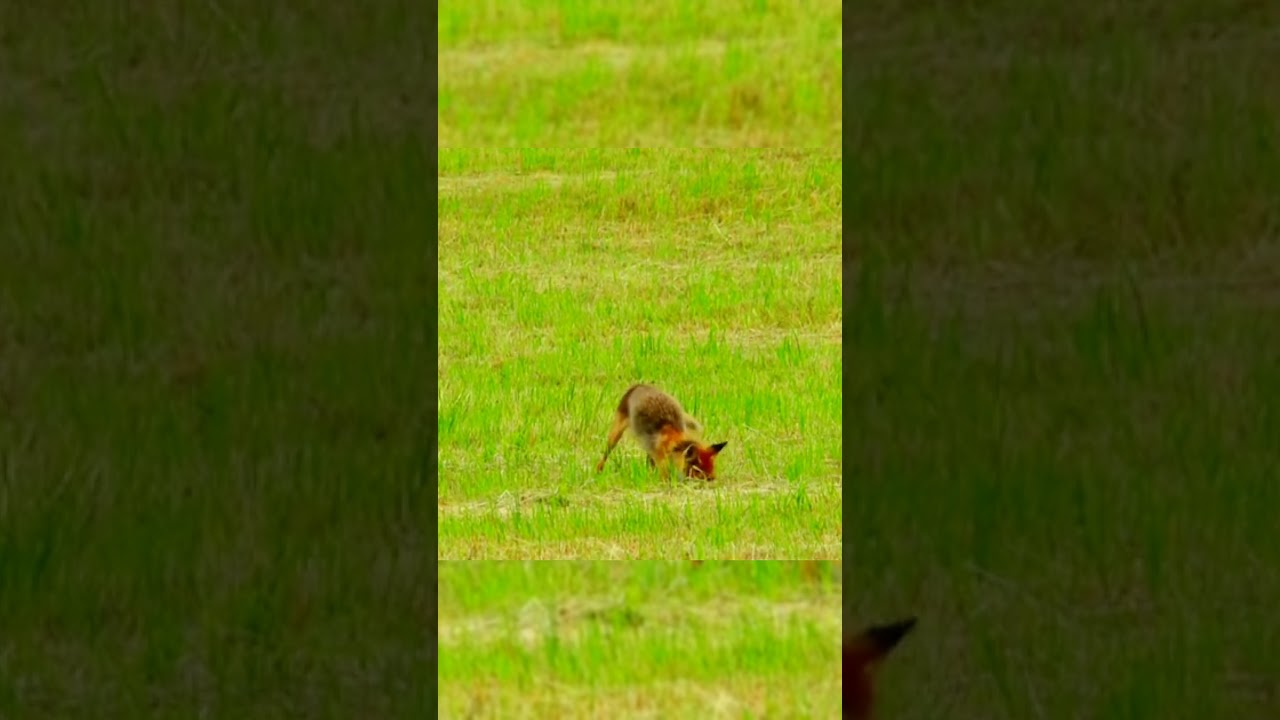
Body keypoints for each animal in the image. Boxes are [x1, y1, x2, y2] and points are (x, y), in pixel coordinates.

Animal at [594, 384, 728, 481]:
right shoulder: (662, 465)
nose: (712, 479)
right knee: (606, 453)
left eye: (712, 468)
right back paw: (598, 470)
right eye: (698, 471)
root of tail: (639, 385)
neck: (673, 443)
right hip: (615, 435)